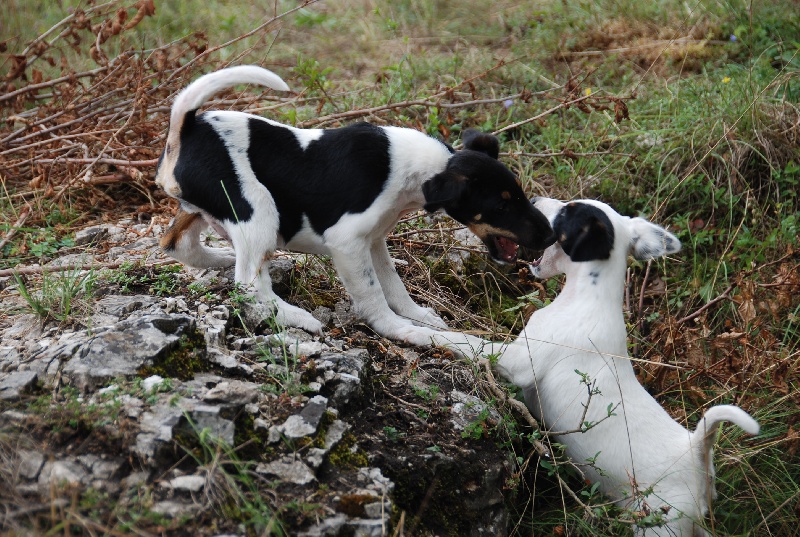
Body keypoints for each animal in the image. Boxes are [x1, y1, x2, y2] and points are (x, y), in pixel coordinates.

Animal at [156, 66, 556, 344]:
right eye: (501, 207)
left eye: (520, 195)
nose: (552, 236)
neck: (422, 169)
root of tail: (186, 128)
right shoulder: (348, 242)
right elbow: (375, 295)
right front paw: (398, 328)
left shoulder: (374, 240)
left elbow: (393, 285)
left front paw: (417, 315)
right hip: (258, 212)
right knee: (249, 285)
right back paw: (297, 318)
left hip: (201, 210)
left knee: (177, 245)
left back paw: (224, 259)